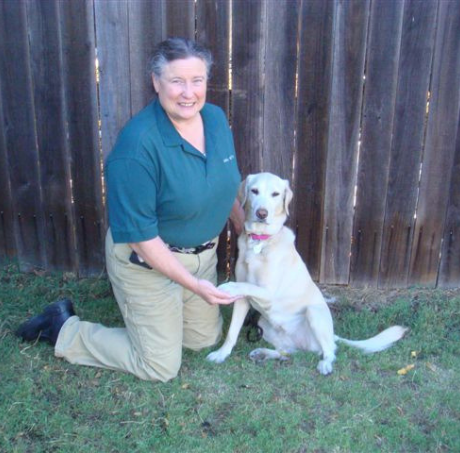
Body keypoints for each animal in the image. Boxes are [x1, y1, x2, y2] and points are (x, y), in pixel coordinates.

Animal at [207, 171, 408, 372]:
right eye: (254, 191)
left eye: (275, 194)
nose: (261, 213)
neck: (260, 241)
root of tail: (332, 334)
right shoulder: (243, 301)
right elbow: (232, 331)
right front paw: (221, 354)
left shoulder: (269, 293)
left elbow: (245, 285)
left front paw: (228, 286)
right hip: (265, 324)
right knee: (288, 351)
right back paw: (265, 353)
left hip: (314, 313)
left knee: (330, 350)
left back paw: (325, 364)